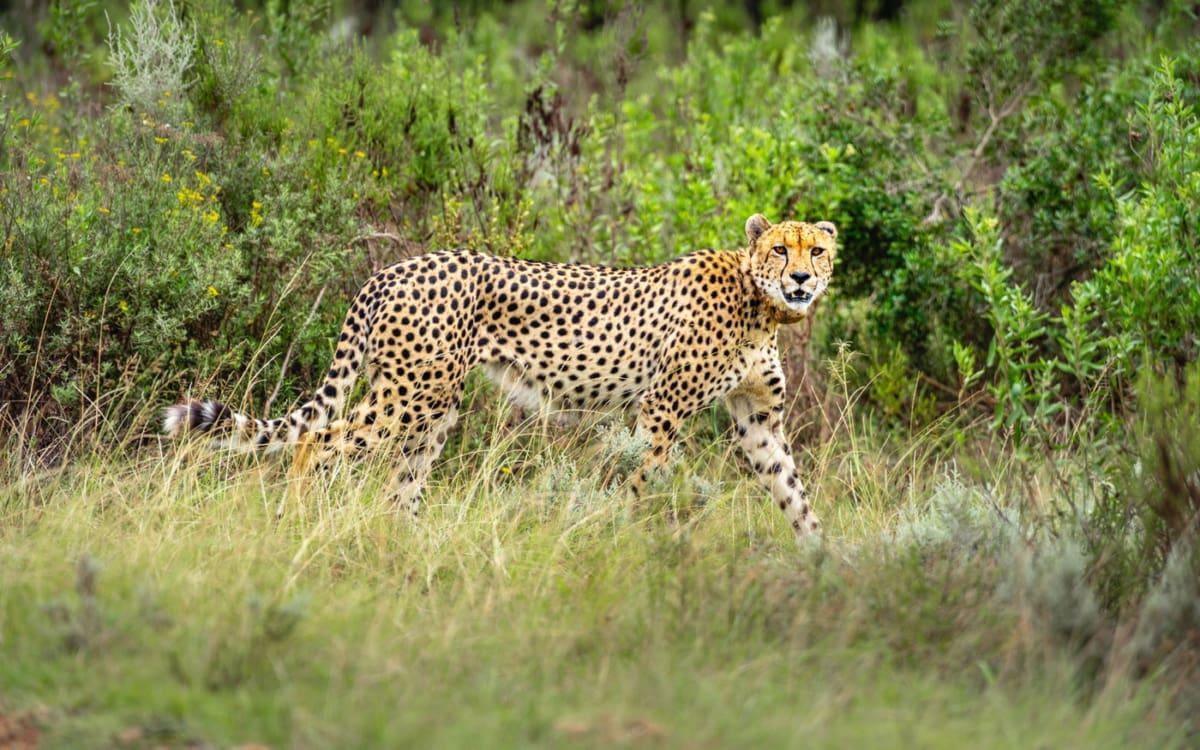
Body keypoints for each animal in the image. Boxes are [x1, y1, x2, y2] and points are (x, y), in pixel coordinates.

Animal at [163, 213, 837, 536]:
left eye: (818, 250)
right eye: (780, 249)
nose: (802, 278)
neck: (761, 303)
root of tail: (393, 268)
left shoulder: (759, 419)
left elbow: (794, 493)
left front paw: (826, 561)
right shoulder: (662, 410)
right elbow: (636, 482)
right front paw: (607, 533)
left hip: (434, 406)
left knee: (401, 487)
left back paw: (414, 547)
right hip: (408, 396)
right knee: (315, 441)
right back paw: (294, 523)